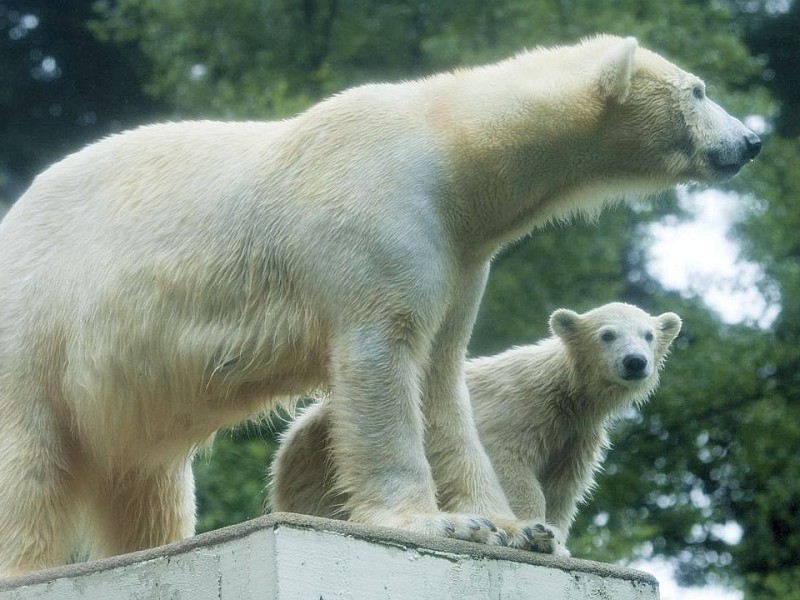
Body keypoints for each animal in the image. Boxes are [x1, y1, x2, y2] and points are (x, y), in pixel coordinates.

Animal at [0, 35, 756, 576]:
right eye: (698, 89)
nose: (749, 140)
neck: (450, 153)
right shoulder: (375, 221)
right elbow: (383, 361)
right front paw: (436, 522)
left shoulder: (460, 255)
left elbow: (442, 380)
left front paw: (518, 529)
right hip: (37, 320)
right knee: (28, 453)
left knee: (147, 479)